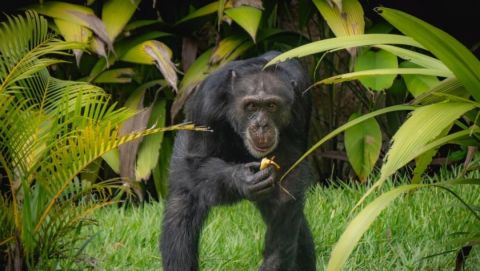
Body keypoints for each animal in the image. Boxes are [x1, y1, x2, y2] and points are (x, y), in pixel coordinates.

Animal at [161, 51, 316, 271]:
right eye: (251, 106)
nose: (261, 124)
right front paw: (240, 179)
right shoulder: (206, 102)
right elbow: (195, 161)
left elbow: (287, 187)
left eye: (271, 106)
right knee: (181, 205)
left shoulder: (301, 102)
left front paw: (273, 261)